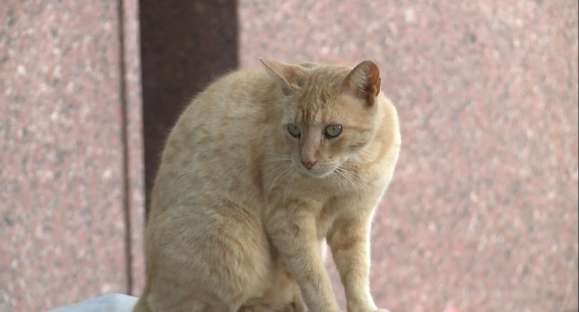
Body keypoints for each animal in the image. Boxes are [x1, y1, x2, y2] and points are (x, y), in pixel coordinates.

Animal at [134, 59, 402, 312]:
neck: (352, 169)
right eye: (294, 130)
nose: (307, 161)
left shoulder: (354, 220)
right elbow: (314, 279)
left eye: (333, 130)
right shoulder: (289, 219)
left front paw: (365, 307)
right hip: (235, 246)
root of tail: (147, 289)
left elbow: (357, 273)